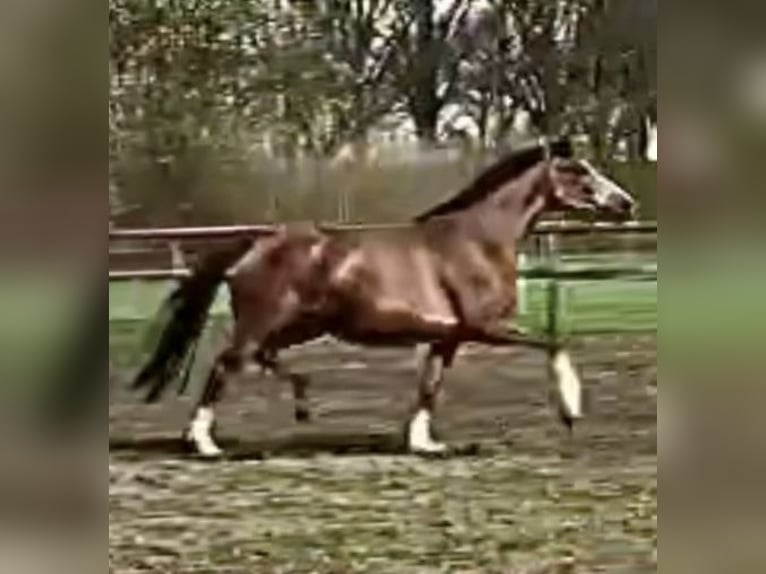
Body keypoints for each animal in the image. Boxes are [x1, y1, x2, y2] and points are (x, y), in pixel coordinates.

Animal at [132, 137, 636, 456]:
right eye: (578, 171)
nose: (626, 203)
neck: (478, 238)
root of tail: (256, 242)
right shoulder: (485, 327)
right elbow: (554, 342)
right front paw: (571, 410)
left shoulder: (448, 337)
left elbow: (430, 386)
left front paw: (424, 443)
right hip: (264, 321)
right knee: (226, 364)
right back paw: (205, 444)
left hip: (302, 325)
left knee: (261, 358)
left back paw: (303, 402)